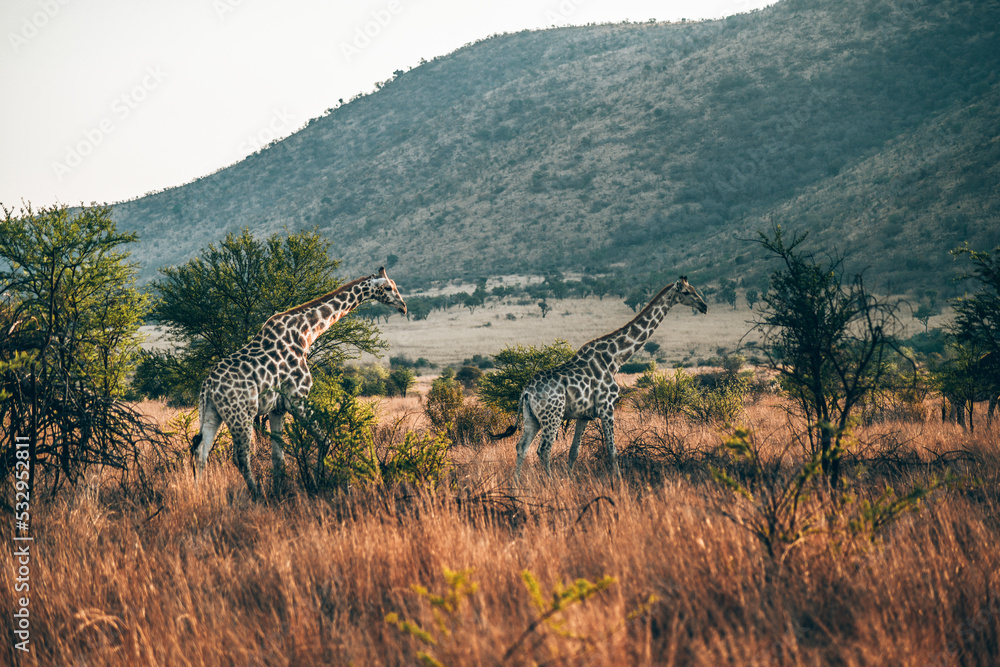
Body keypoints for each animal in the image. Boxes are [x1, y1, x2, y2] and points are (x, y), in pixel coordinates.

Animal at [190, 267, 407, 498]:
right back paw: (257, 494)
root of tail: (208, 386)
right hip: (241, 415)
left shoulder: (277, 408)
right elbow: (324, 439)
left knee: (201, 451)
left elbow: (278, 458)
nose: (403, 306)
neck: (306, 332)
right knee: (240, 457)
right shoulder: (297, 398)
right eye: (388, 287)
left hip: (213, 413)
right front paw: (318, 482)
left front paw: (280, 491)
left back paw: (198, 493)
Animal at [506, 277, 708, 483]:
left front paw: (570, 479)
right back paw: (551, 483)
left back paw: (517, 484)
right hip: (552, 415)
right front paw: (618, 481)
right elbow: (612, 450)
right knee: (544, 449)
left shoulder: (584, 415)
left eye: (694, 289)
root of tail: (526, 391)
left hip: (532, 418)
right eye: (686, 292)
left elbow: (574, 451)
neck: (614, 358)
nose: (704, 306)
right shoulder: (607, 407)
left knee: (522, 447)